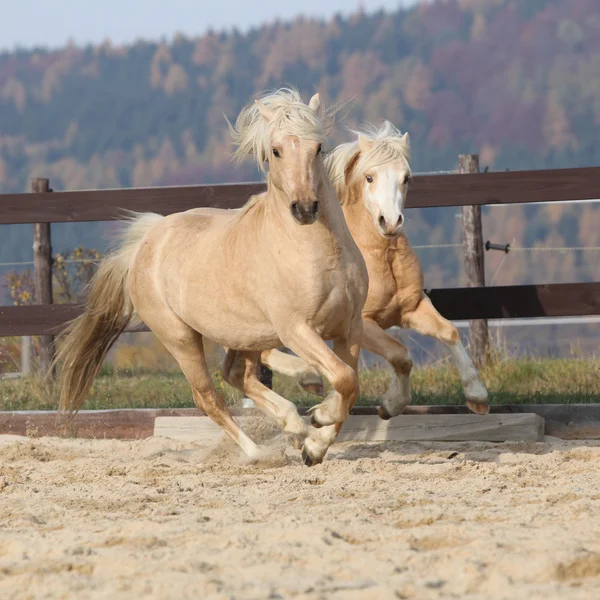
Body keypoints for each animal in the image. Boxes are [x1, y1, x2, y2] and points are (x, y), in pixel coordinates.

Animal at [54, 89, 368, 466]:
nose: (305, 209)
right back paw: (259, 450)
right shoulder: (296, 329)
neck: (320, 253)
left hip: (246, 334)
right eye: (275, 150)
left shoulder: (350, 327)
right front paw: (318, 421)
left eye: (318, 147)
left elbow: (349, 384)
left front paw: (315, 442)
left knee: (236, 375)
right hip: (181, 337)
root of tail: (147, 240)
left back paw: (294, 423)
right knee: (207, 396)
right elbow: (344, 380)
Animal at [258, 122, 488, 418]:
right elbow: (399, 354)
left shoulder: (412, 307)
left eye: (406, 178)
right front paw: (389, 404)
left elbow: (449, 331)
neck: (381, 256)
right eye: (369, 177)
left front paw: (477, 396)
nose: (389, 222)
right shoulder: (362, 322)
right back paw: (310, 377)